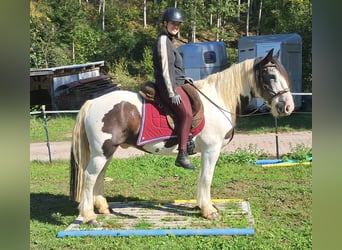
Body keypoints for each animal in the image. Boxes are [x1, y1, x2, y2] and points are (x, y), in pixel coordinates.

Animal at [69, 48, 294, 223]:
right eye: (271, 76)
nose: (288, 107)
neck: (217, 99)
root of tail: (93, 103)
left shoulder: (207, 152)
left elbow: (203, 177)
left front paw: (202, 206)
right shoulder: (211, 150)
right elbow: (207, 177)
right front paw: (209, 211)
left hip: (107, 152)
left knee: (99, 176)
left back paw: (103, 208)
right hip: (102, 152)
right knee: (90, 177)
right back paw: (88, 216)